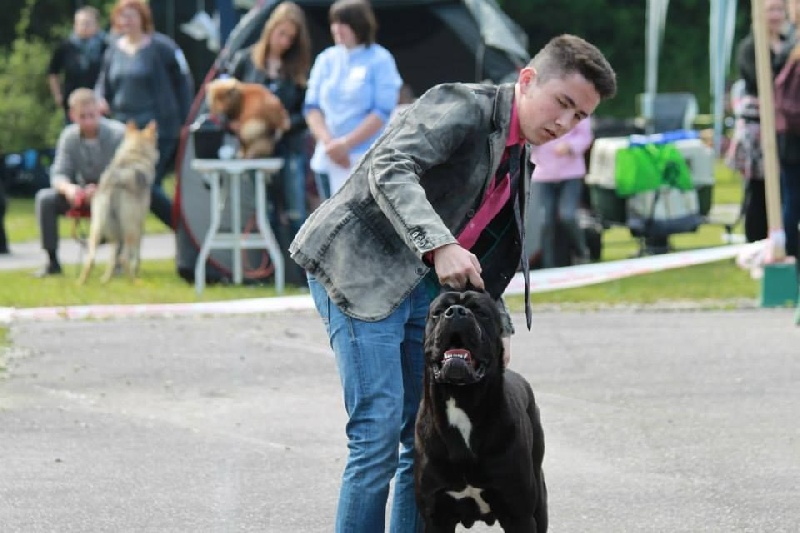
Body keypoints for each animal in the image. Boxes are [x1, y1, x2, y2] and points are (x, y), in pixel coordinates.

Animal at [77, 120, 159, 284]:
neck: (135, 153)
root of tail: (113, 183)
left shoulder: (116, 234)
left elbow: (112, 258)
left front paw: (107, 278)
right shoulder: (140, 223)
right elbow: (135, 256)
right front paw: (134, 271)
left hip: (97, 228)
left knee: (92, 259)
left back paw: (85, 283)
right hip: (130, 230)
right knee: (124, 258)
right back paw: (134, 281)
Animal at [416, 288, 548, 528]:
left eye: (481, 312)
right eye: (438, 312)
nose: (456, 312)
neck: (461, 399)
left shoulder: (519, 514)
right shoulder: (436, 515)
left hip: (539, 503)